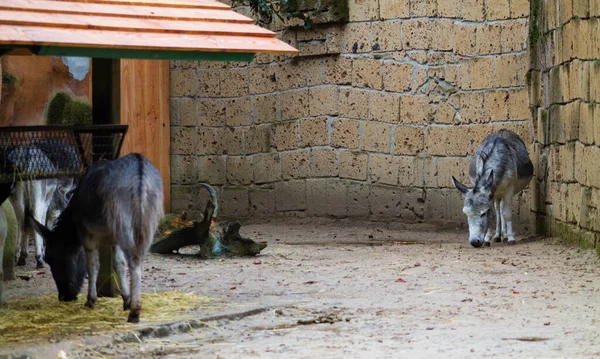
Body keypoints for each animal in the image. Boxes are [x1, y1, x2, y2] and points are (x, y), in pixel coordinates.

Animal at [28, 153, 164, 324]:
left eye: (49, 258)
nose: (64, 296)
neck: (74, 225)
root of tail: (139, 169)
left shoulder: (88, 235)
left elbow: (92, 266)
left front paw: (90, 300)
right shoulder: (113, 238)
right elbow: (118, 264)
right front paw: (125, 300)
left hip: (123, 218)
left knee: (134, 259)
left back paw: (135, 312)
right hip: (149, 220)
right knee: (139, 257)